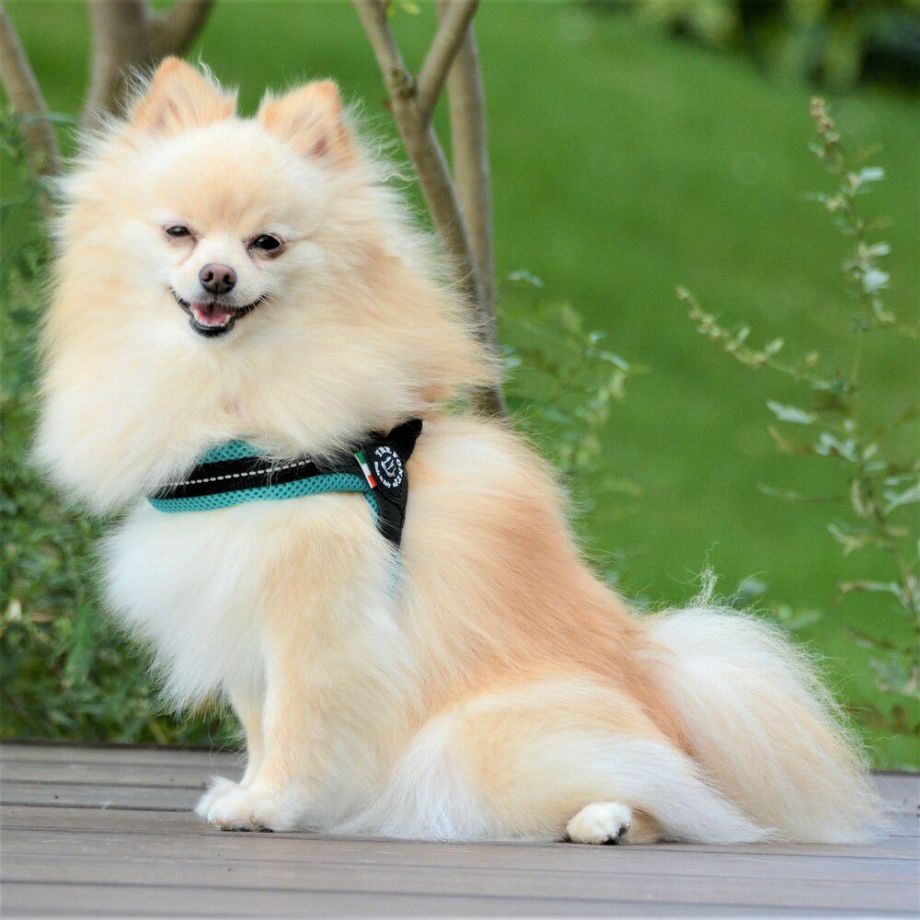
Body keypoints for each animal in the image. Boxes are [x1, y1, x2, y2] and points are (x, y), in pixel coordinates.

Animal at [36, 58, 882, 843]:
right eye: (178, 232)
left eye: (266, 244)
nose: (217, 275)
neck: (234, 403)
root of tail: (667, 685)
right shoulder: (235, 601)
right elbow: (259, 721)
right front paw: (247, 791)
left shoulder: (317, 617)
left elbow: (295, 723)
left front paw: (270, 805)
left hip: (477, 738)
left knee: (663, 799)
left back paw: (603, 818)